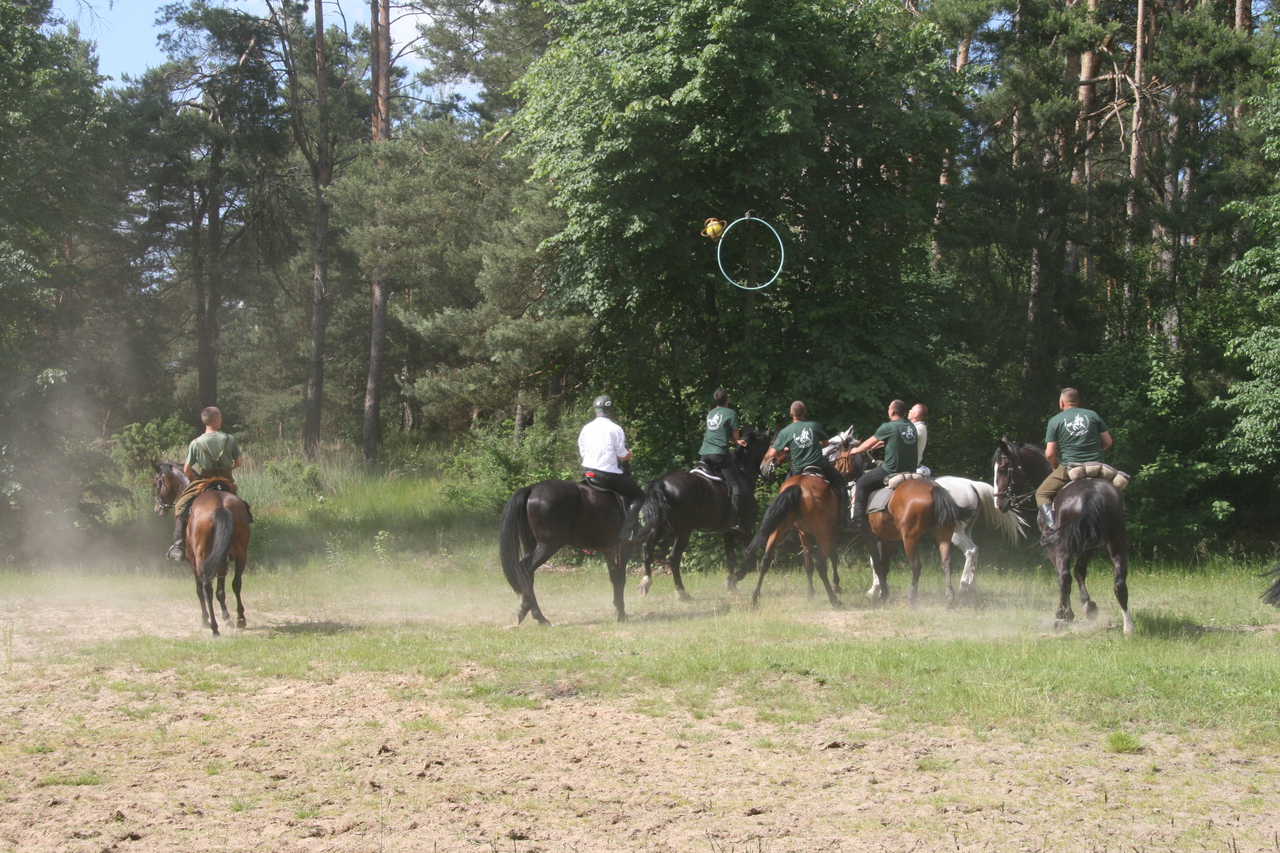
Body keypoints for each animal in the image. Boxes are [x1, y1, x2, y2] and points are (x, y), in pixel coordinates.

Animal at [151, 461, 249, 635]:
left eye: (156, 482)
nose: (158, 508)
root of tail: (221, 506)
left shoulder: (192, 561)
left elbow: (199, 590)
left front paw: (205, 619)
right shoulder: (221, 559)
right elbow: (221, 590)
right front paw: (227, 618)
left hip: (201, 557)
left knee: (206, 588)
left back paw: (213, 628)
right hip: (240, 553)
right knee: (236, 583)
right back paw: (240, 619)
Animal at [499, 473, 640, 622]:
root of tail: (532, 488)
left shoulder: (608, 548)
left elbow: (613, 575)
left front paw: (618, 609)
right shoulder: (625, 546)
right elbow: (621, 577)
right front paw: (622, 613)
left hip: (530, 544)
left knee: (527, 575)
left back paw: (526, 611)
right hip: (549, 545)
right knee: (526, 567)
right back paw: (540, 617)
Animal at [637, 425, 768, 596]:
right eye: (767, 444)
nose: (768, 468)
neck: (743, 474)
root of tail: (661, 482)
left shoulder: (728, 532)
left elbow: (731, 558)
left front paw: (731, 584)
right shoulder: (744, 529)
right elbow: (749, 558)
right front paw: (735, 579)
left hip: (660, 526)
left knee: (647, 548)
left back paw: (645, 583)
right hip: (683, 530)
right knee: (673, 557)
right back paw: (681, 592)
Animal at [988, 438, 1131, 630]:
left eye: (1003, 469)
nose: (999, 503)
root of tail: (1091, 494)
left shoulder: (1053, 546)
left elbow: (1064, 574)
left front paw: (1073, 611)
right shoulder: (1089, 546)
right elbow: (1079, 572)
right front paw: (1088, 605)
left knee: (1064, 577)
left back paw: (1060, 615)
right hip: (1116, 543)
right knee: (1120, 582)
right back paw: (1128, 626)